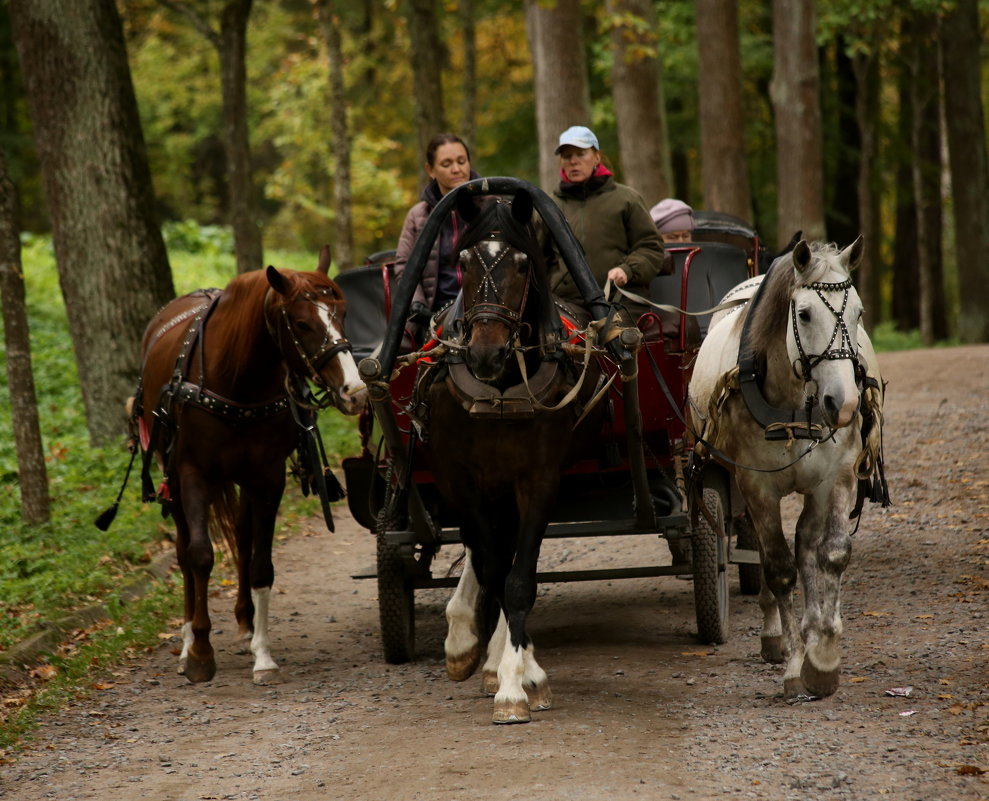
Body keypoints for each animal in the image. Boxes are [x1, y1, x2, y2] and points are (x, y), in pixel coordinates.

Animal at [130, 248, 362, 680]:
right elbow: (200, 555)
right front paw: (200, 651)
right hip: (173, 474)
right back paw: (186, 640)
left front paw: (262, 654)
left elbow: (260, 564)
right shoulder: (192, 474)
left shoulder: (267, 478)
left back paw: (244, 621)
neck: (236, 379)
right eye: (302, 323)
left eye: (342, 314)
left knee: (241, 535)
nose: (355, 391)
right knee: (185, 550)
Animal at [420, 191, 604, 720]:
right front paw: (505, 667)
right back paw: (468, 641)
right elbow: (495, 569)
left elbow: (520, 579)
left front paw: (519, 682)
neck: (501, 392)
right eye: (462, 261)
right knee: (487, 553)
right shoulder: (457, 479)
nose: (486, 354)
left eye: (523, 264)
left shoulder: (539, 478)